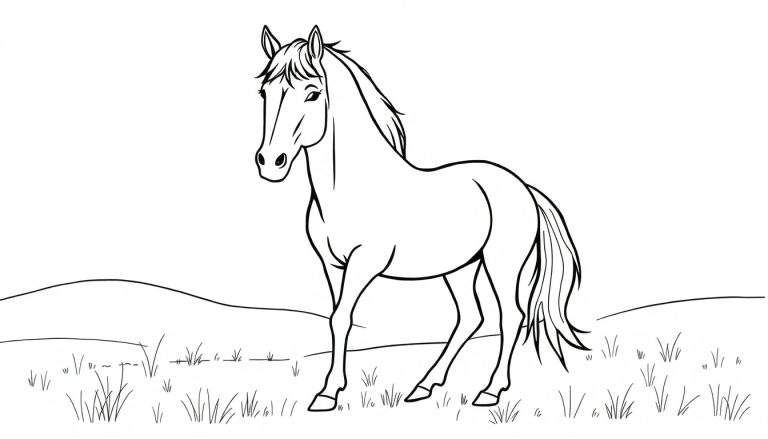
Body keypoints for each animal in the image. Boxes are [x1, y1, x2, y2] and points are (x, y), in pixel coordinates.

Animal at [255, 25, 587, 411]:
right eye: (264, 92)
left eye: (312, 93)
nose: (270, 162)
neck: (349, 187)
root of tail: (523, 187)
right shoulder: (332, 265)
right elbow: (336, 319)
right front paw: (329, 390)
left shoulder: (364, 263)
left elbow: (342, 317)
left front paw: (327, 393)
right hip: (461, 267)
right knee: (470, 317)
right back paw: (424, 386)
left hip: (501, 263)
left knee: (511, 316)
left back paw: (489, 391)